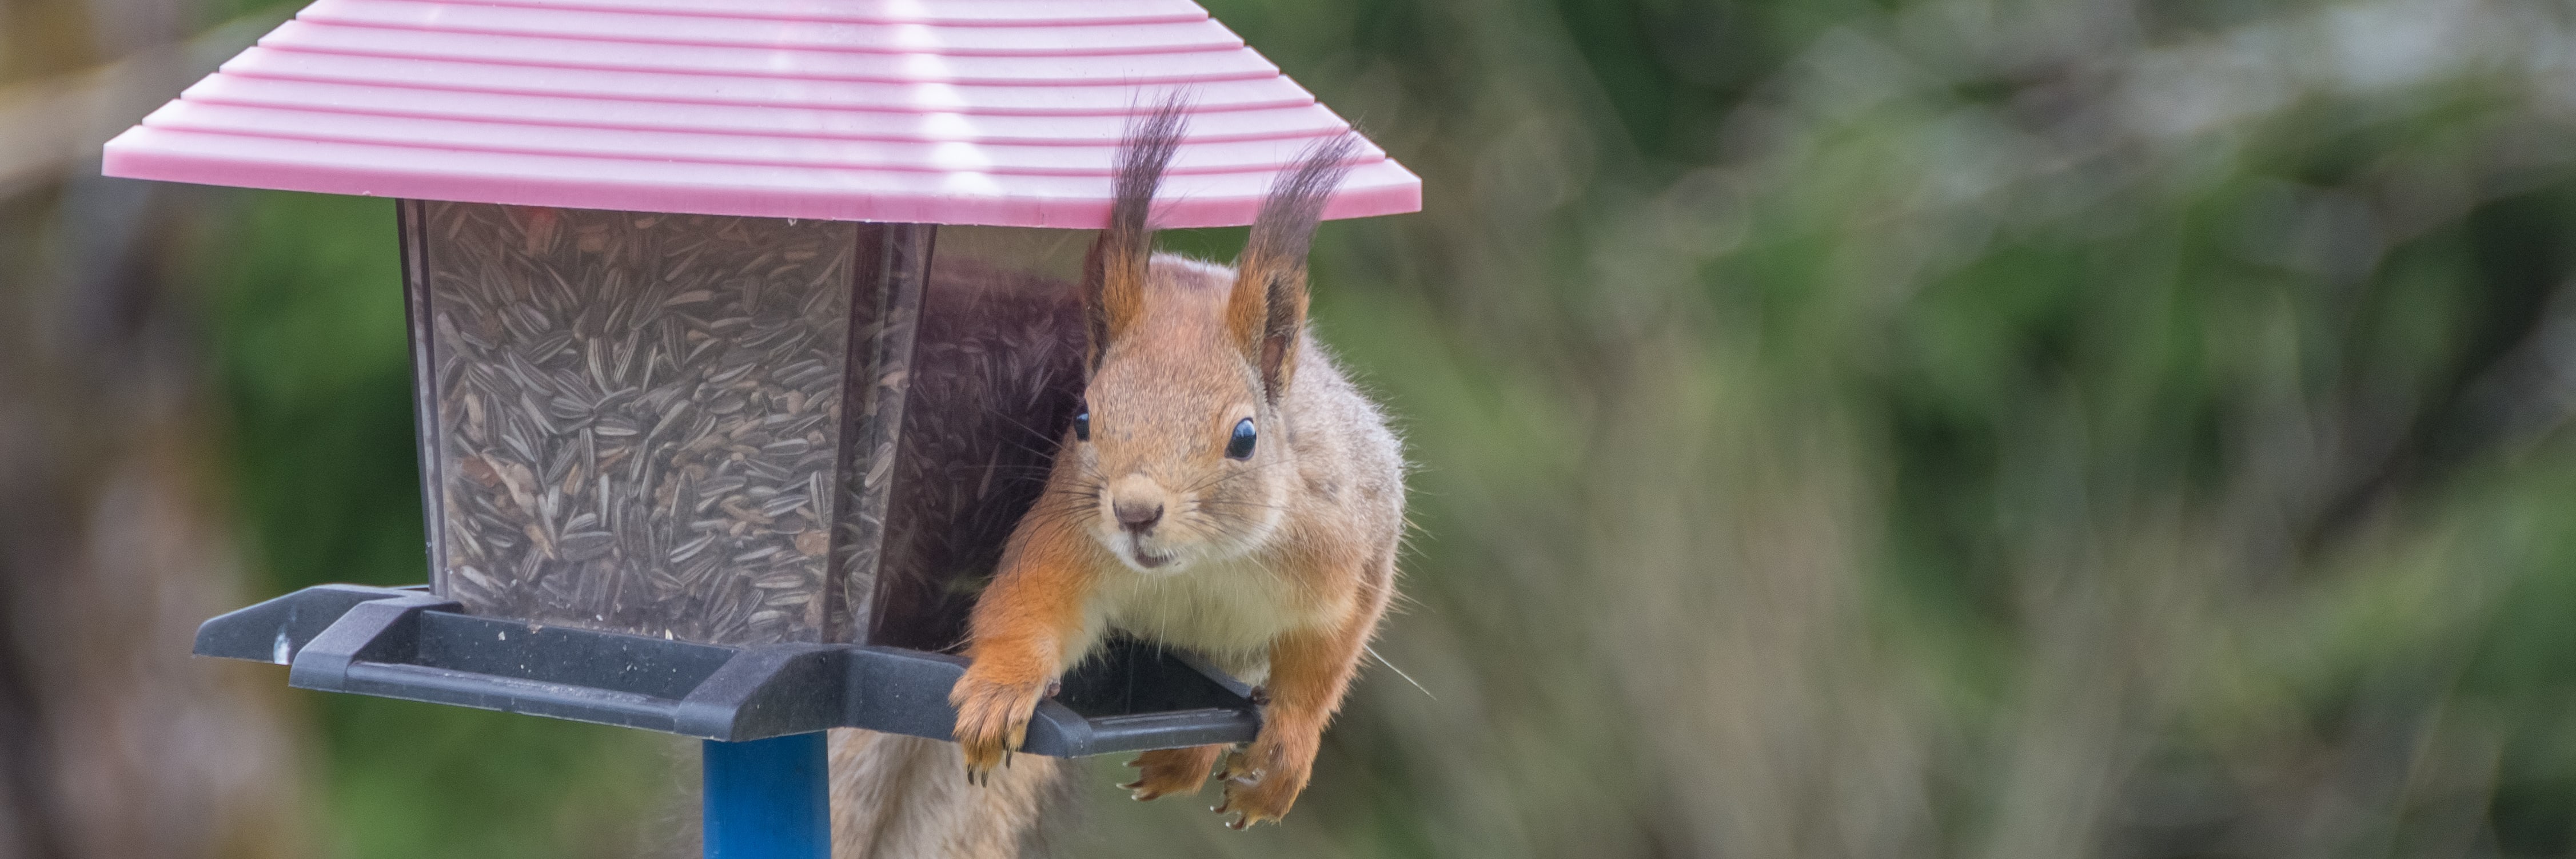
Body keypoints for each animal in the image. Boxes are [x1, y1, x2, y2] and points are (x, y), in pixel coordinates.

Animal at [944, 100, 1408, 831]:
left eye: (1245, 437)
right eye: (1082, 418)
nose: (1134, 510)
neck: (1202, 563)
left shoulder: (1346, 554)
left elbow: (1325, 662)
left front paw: (1288, 748)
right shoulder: (1065, 534)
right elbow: (1028, 604)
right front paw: (999, 688)